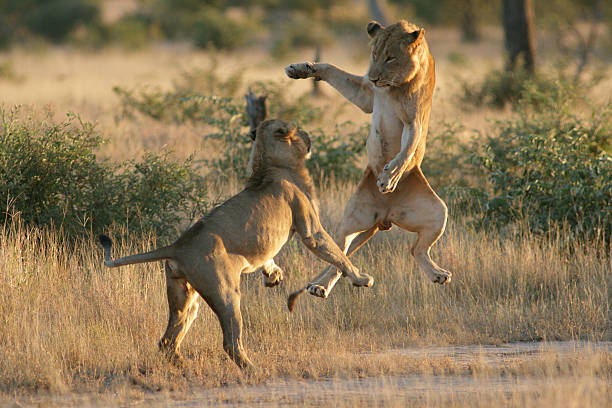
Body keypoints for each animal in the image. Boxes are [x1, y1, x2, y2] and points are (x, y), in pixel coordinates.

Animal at [98, 118, 372, 370]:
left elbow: (270, 259)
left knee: (167, 340)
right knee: (230, 341)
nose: (308, 135)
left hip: (184, 295)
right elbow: (335, 253)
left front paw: (273, 275)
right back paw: (254, 369)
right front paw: (361, 278)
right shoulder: (309, 226)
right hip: (225, 291)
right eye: (298, 129)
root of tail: (178, 244)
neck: (270, 162)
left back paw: (185, 366)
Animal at [286, 19, 450, 312]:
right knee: (341, 256)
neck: (391, 85)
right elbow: (331, 69)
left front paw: (389, 178)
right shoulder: (365, 94)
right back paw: (319, 287)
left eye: (390, 57)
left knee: (416, 250)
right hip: (353, 217)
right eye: (374, 55)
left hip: (438, 212)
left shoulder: (414, 120)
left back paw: (437, 274)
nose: (373, 77)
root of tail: (386, 217)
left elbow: (407, 149)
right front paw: (301, 69)